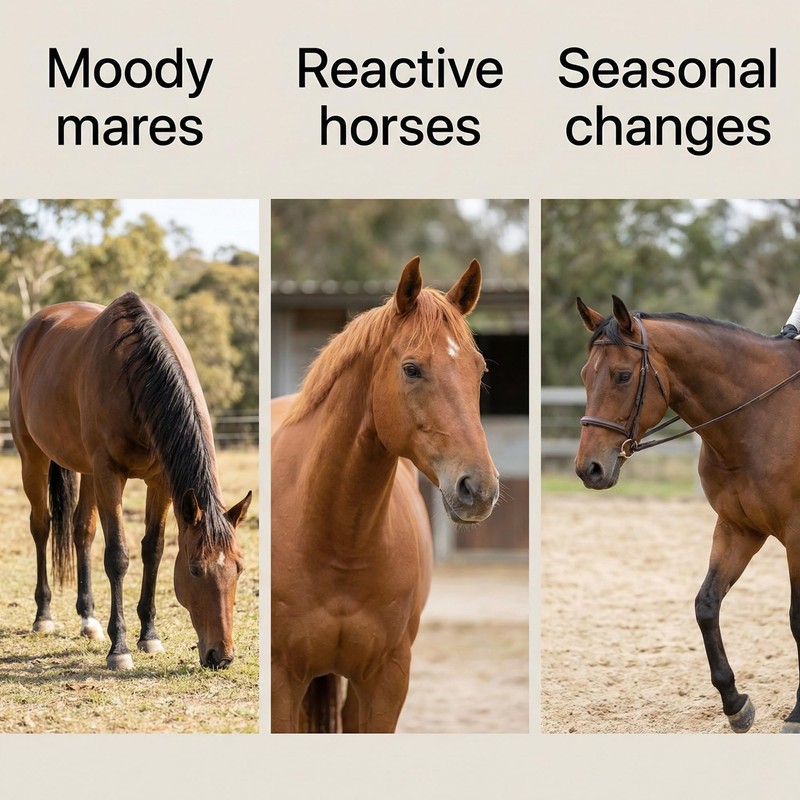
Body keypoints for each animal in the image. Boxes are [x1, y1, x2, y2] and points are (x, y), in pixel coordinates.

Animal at [9, 292, 252, 671]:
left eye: (238, 569)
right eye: (195, 570)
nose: (221, 656)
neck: (135, 377)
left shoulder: (160, 481)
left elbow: (153, 550)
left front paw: (149, 635)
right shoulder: (110, 474)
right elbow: (118, 556)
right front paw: (119, 648)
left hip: (86, 470)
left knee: (82, 531)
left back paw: (88, 620)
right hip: (32, 456)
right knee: (41, 526)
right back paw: (44, 616)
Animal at [575, 294, 800, 733]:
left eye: (623, 376)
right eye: (585, 375)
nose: (588, 469)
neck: (760, 419)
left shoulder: (797, 534)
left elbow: (799, 619)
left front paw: (798, 713)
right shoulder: (737, 528)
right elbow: (706, 606)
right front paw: (735, 704)